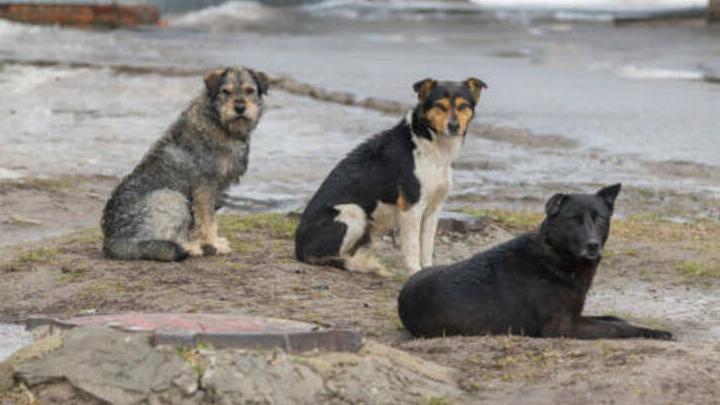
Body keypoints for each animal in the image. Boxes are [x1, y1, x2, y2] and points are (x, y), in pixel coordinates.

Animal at [101, 65, 270, 262]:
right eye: (225, 91)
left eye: (250, 90)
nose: (240, 108)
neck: (220, 124)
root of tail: (114, 242)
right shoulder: (204, 189)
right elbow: (209, 221)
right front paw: (213, 244)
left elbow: (201, 223)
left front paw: (210, 241)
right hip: (172, 197)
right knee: (167, 241)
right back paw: (194, 248)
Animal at [294, 77, 490, 274]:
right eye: (439, 106)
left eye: (463, 106)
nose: (454, 126)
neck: (430, 144)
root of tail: (299, 249)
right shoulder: (412, 208)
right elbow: (413, 247)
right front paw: (415, 271)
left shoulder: (433, 209)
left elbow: (427, 247)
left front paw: (427, 270)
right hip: (353, 211)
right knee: (330, 256)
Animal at [400, 185, 676, 340]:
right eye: (575, 220)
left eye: (599, 219)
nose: (593, 245)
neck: (554, 257)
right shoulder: (562, 326)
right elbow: (618, 329)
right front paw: (654, 332)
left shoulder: (576, 315)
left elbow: (614, 319)